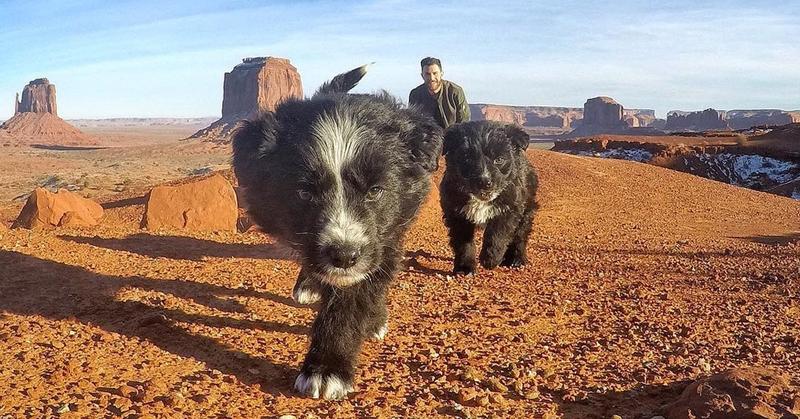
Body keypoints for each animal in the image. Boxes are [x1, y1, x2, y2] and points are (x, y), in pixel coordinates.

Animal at [231, 65, 444, 400]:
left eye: (375, 190)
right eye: (304, 193)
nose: (344, 256)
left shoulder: (387, 234)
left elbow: (354, 295)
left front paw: (327, 368)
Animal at [440, 120, 540, 276]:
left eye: (499, 159)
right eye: (467, 159)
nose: (484, 181)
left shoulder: (509, 209)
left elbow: (497, 235)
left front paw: (491, 259)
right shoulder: (456, 213)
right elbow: (463, 243)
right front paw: (464, 268)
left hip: (527, 209)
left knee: (520, 236)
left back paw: (516, 259)